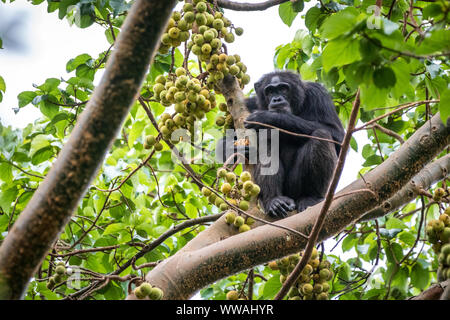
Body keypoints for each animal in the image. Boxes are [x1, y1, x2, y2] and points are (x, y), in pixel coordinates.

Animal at [216, 71, 346, 219]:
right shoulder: (247, 105)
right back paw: (275, 201)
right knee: (265, 142)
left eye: (283, 88)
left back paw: (311, 198)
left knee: (322, 135)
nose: (277, 99)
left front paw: (270, 118)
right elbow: (224, 142)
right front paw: (241, 149)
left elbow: (336, 134)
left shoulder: (318, 94)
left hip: (295, 187)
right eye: (270, 91)